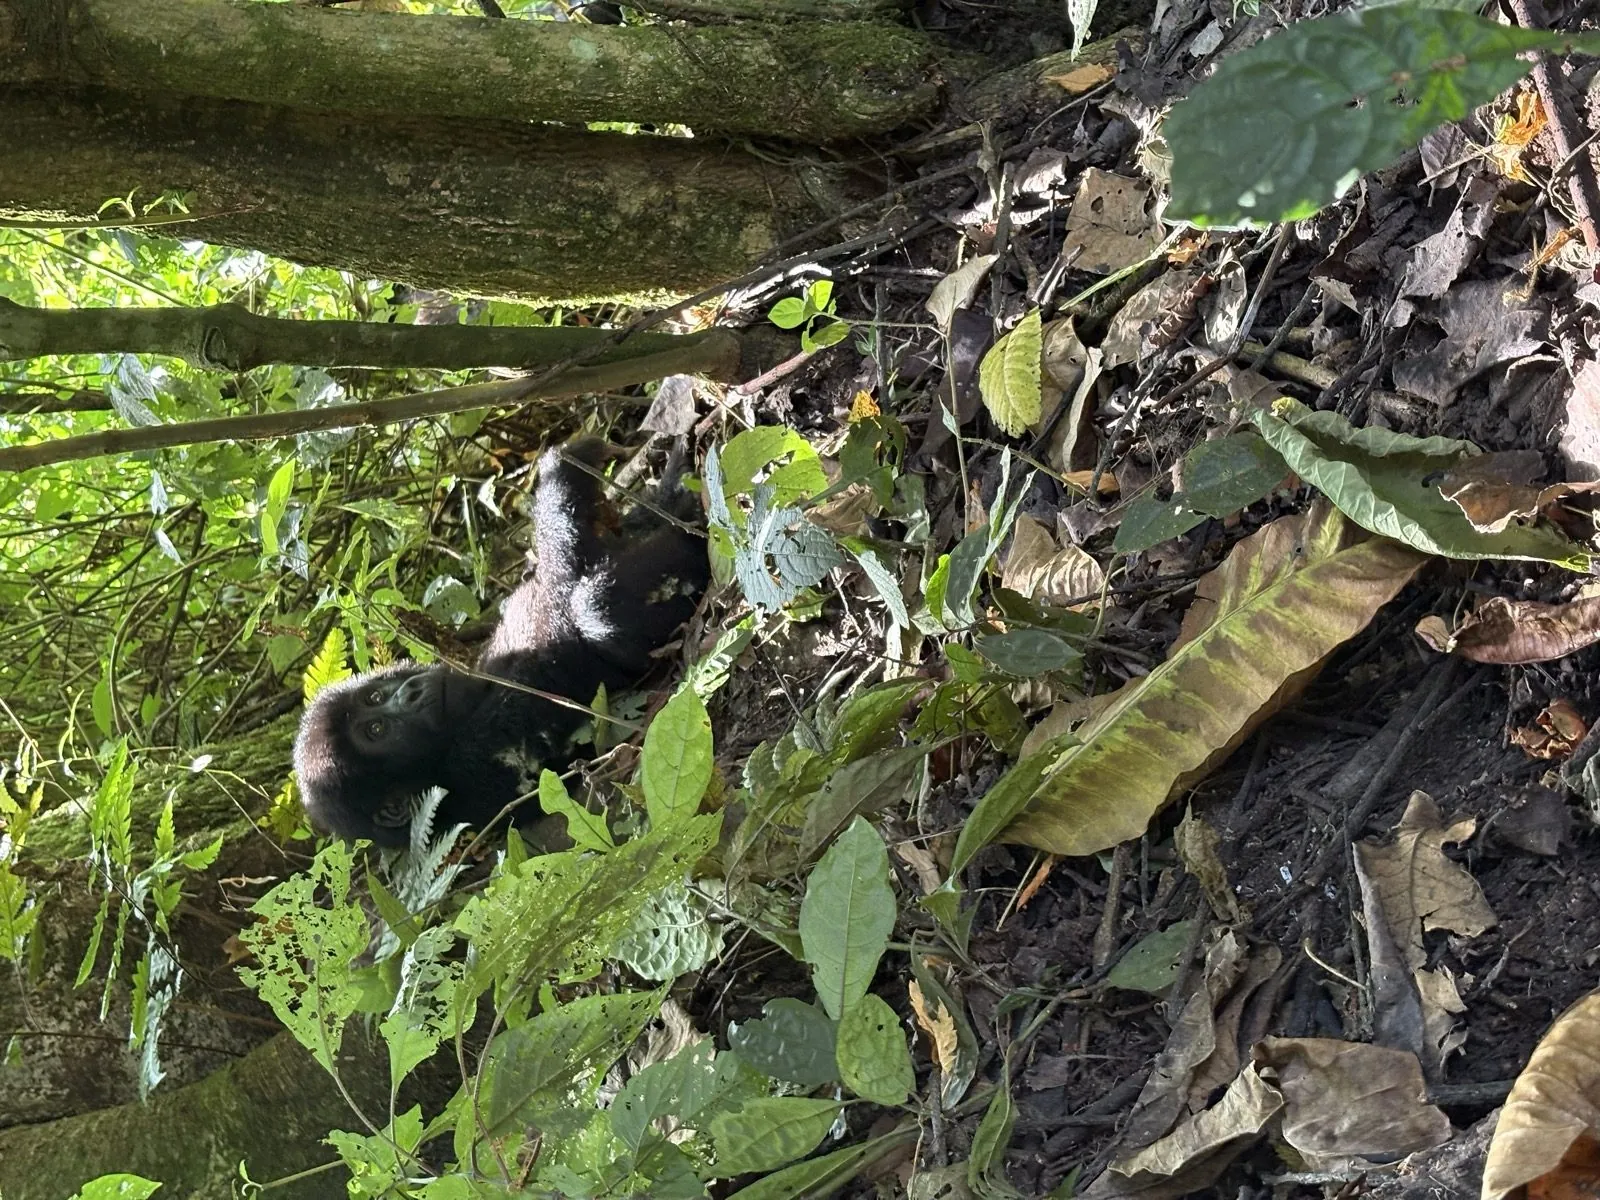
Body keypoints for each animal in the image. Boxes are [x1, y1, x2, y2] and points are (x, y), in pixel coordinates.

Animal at [293, 437, 707, 846]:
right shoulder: (480, 755)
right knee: (596, 610)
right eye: (377, 731)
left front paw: (574, 461)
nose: (408, 693)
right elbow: (561, 596)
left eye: (374, 698)